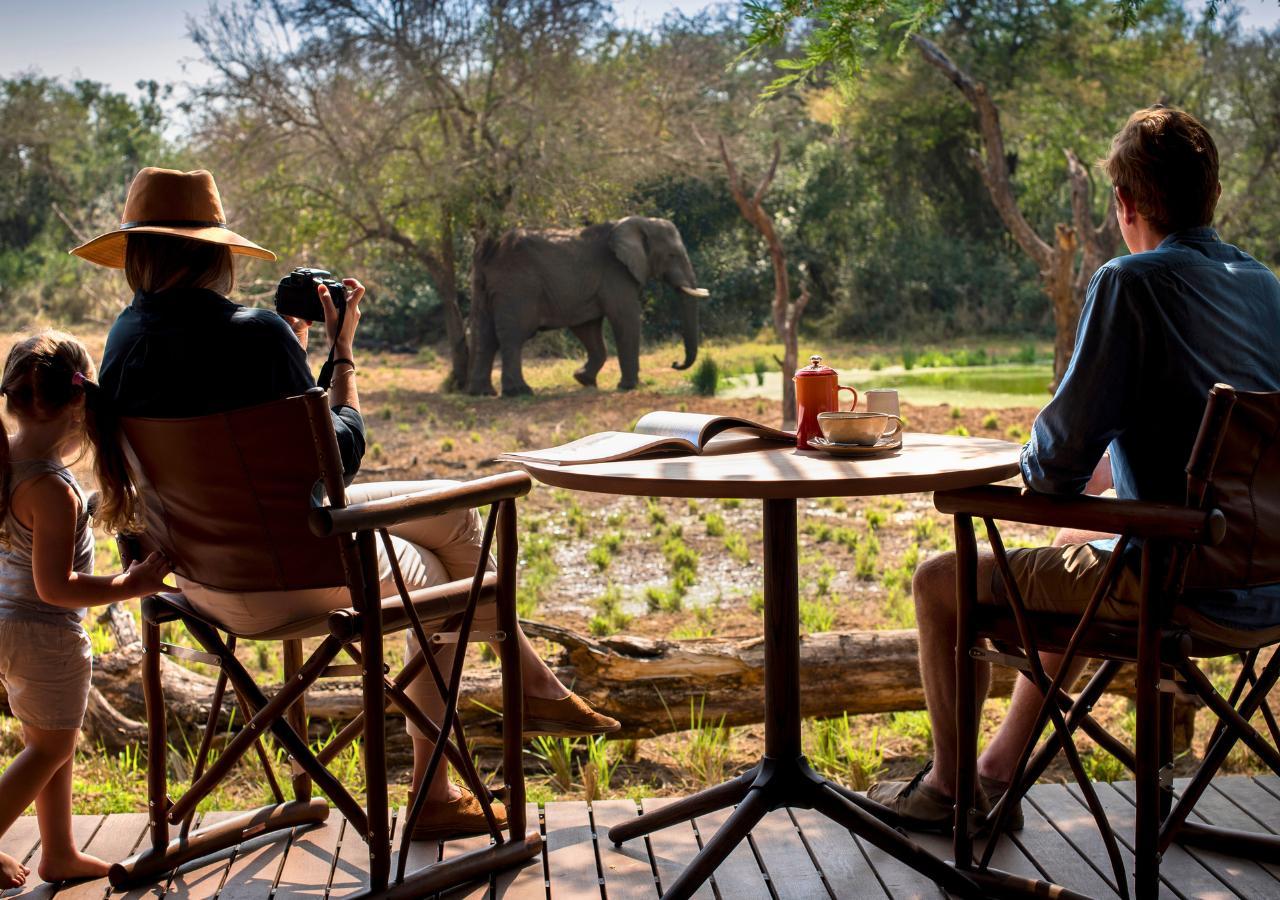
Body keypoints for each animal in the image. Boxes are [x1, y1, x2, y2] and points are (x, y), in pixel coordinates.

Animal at [466, 216, 709, 396]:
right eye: (672, 255)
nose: (675, 363)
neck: (639, 223)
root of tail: (492, 252)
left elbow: (587, 328)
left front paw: (583, 380)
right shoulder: (615, 272)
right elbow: (625, 317)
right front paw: (629, 387)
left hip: (483, 287)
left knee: (486, 336)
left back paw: (482, 393)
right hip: (517, 288)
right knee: (513, 336)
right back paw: (519, 392)